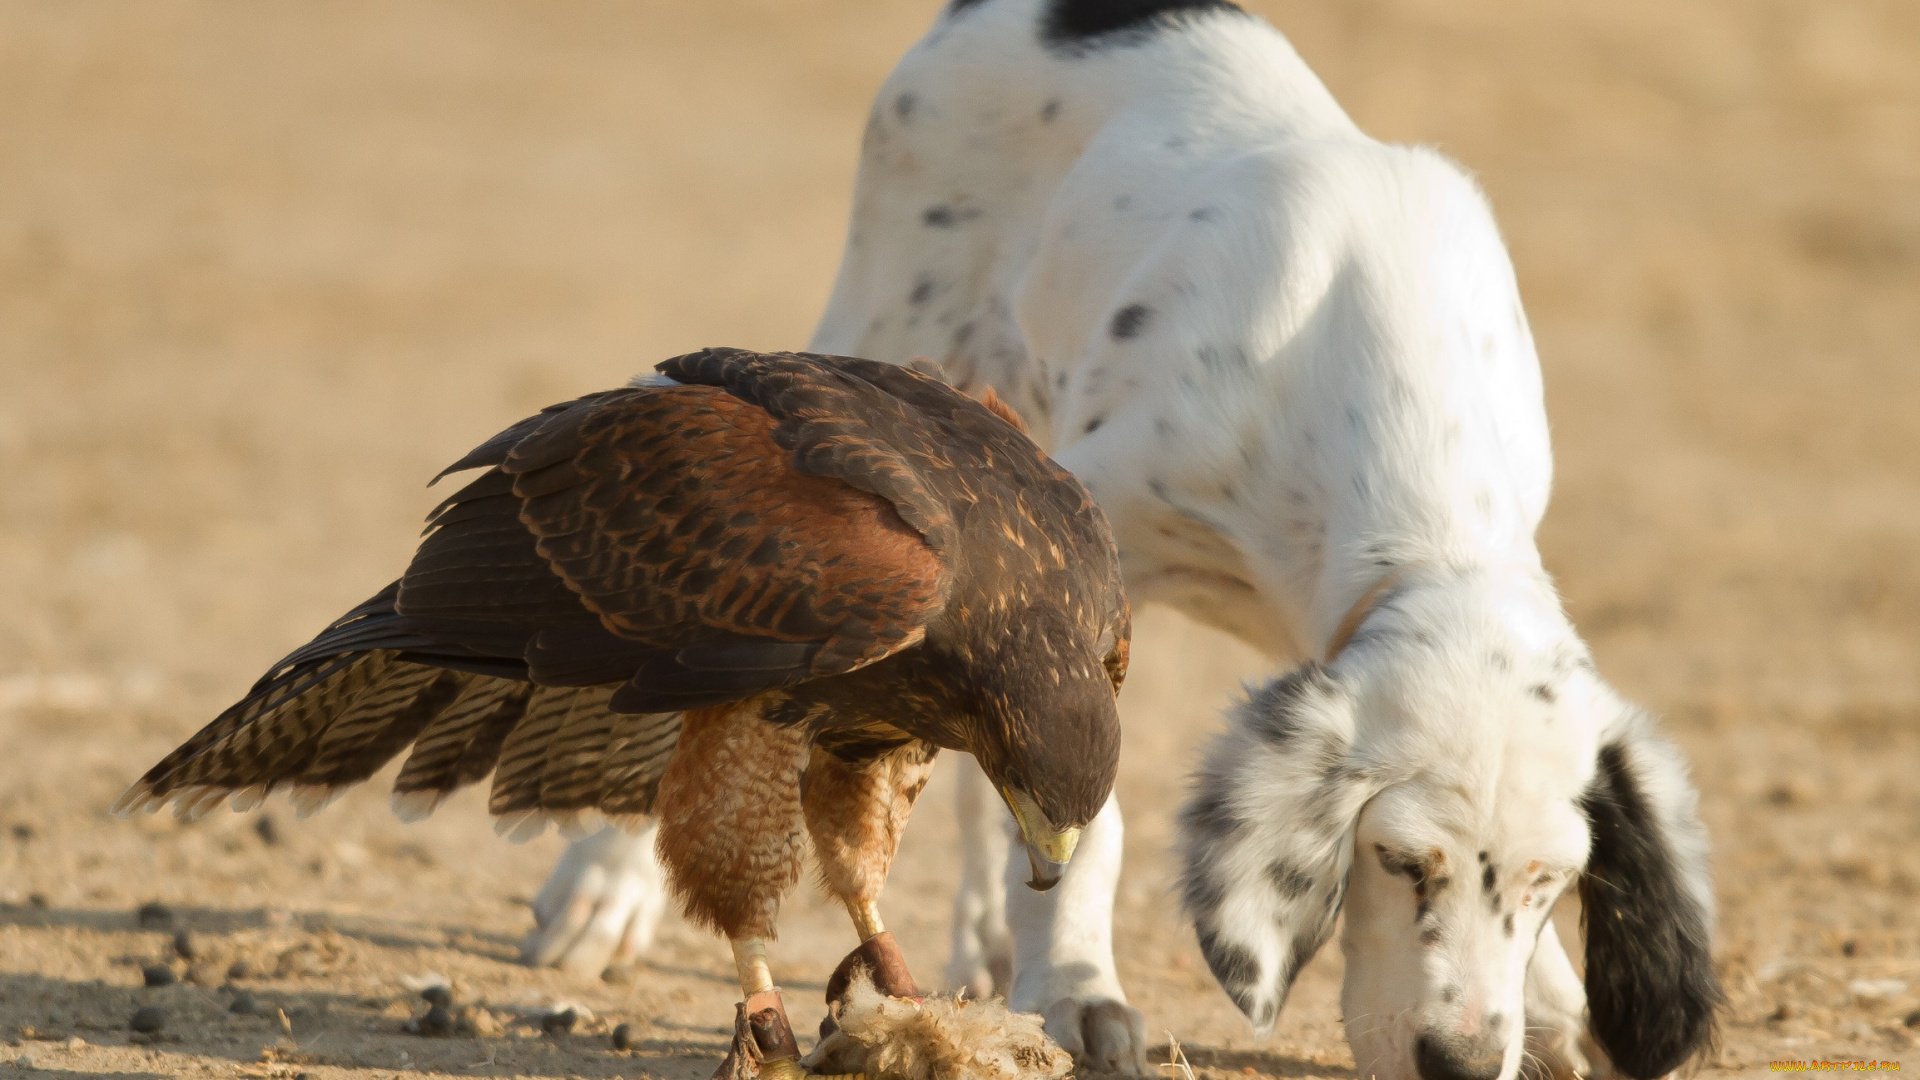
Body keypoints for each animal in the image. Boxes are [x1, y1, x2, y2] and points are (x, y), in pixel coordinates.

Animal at [529, 0, 1728, 1068]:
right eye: (1397, 863)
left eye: (1550, 884)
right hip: (889, 344)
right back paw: (606, 883)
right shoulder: (1084, 547)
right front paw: (1070, 988)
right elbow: (1082, 810)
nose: (1464, 1063)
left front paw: (1557, 1007)